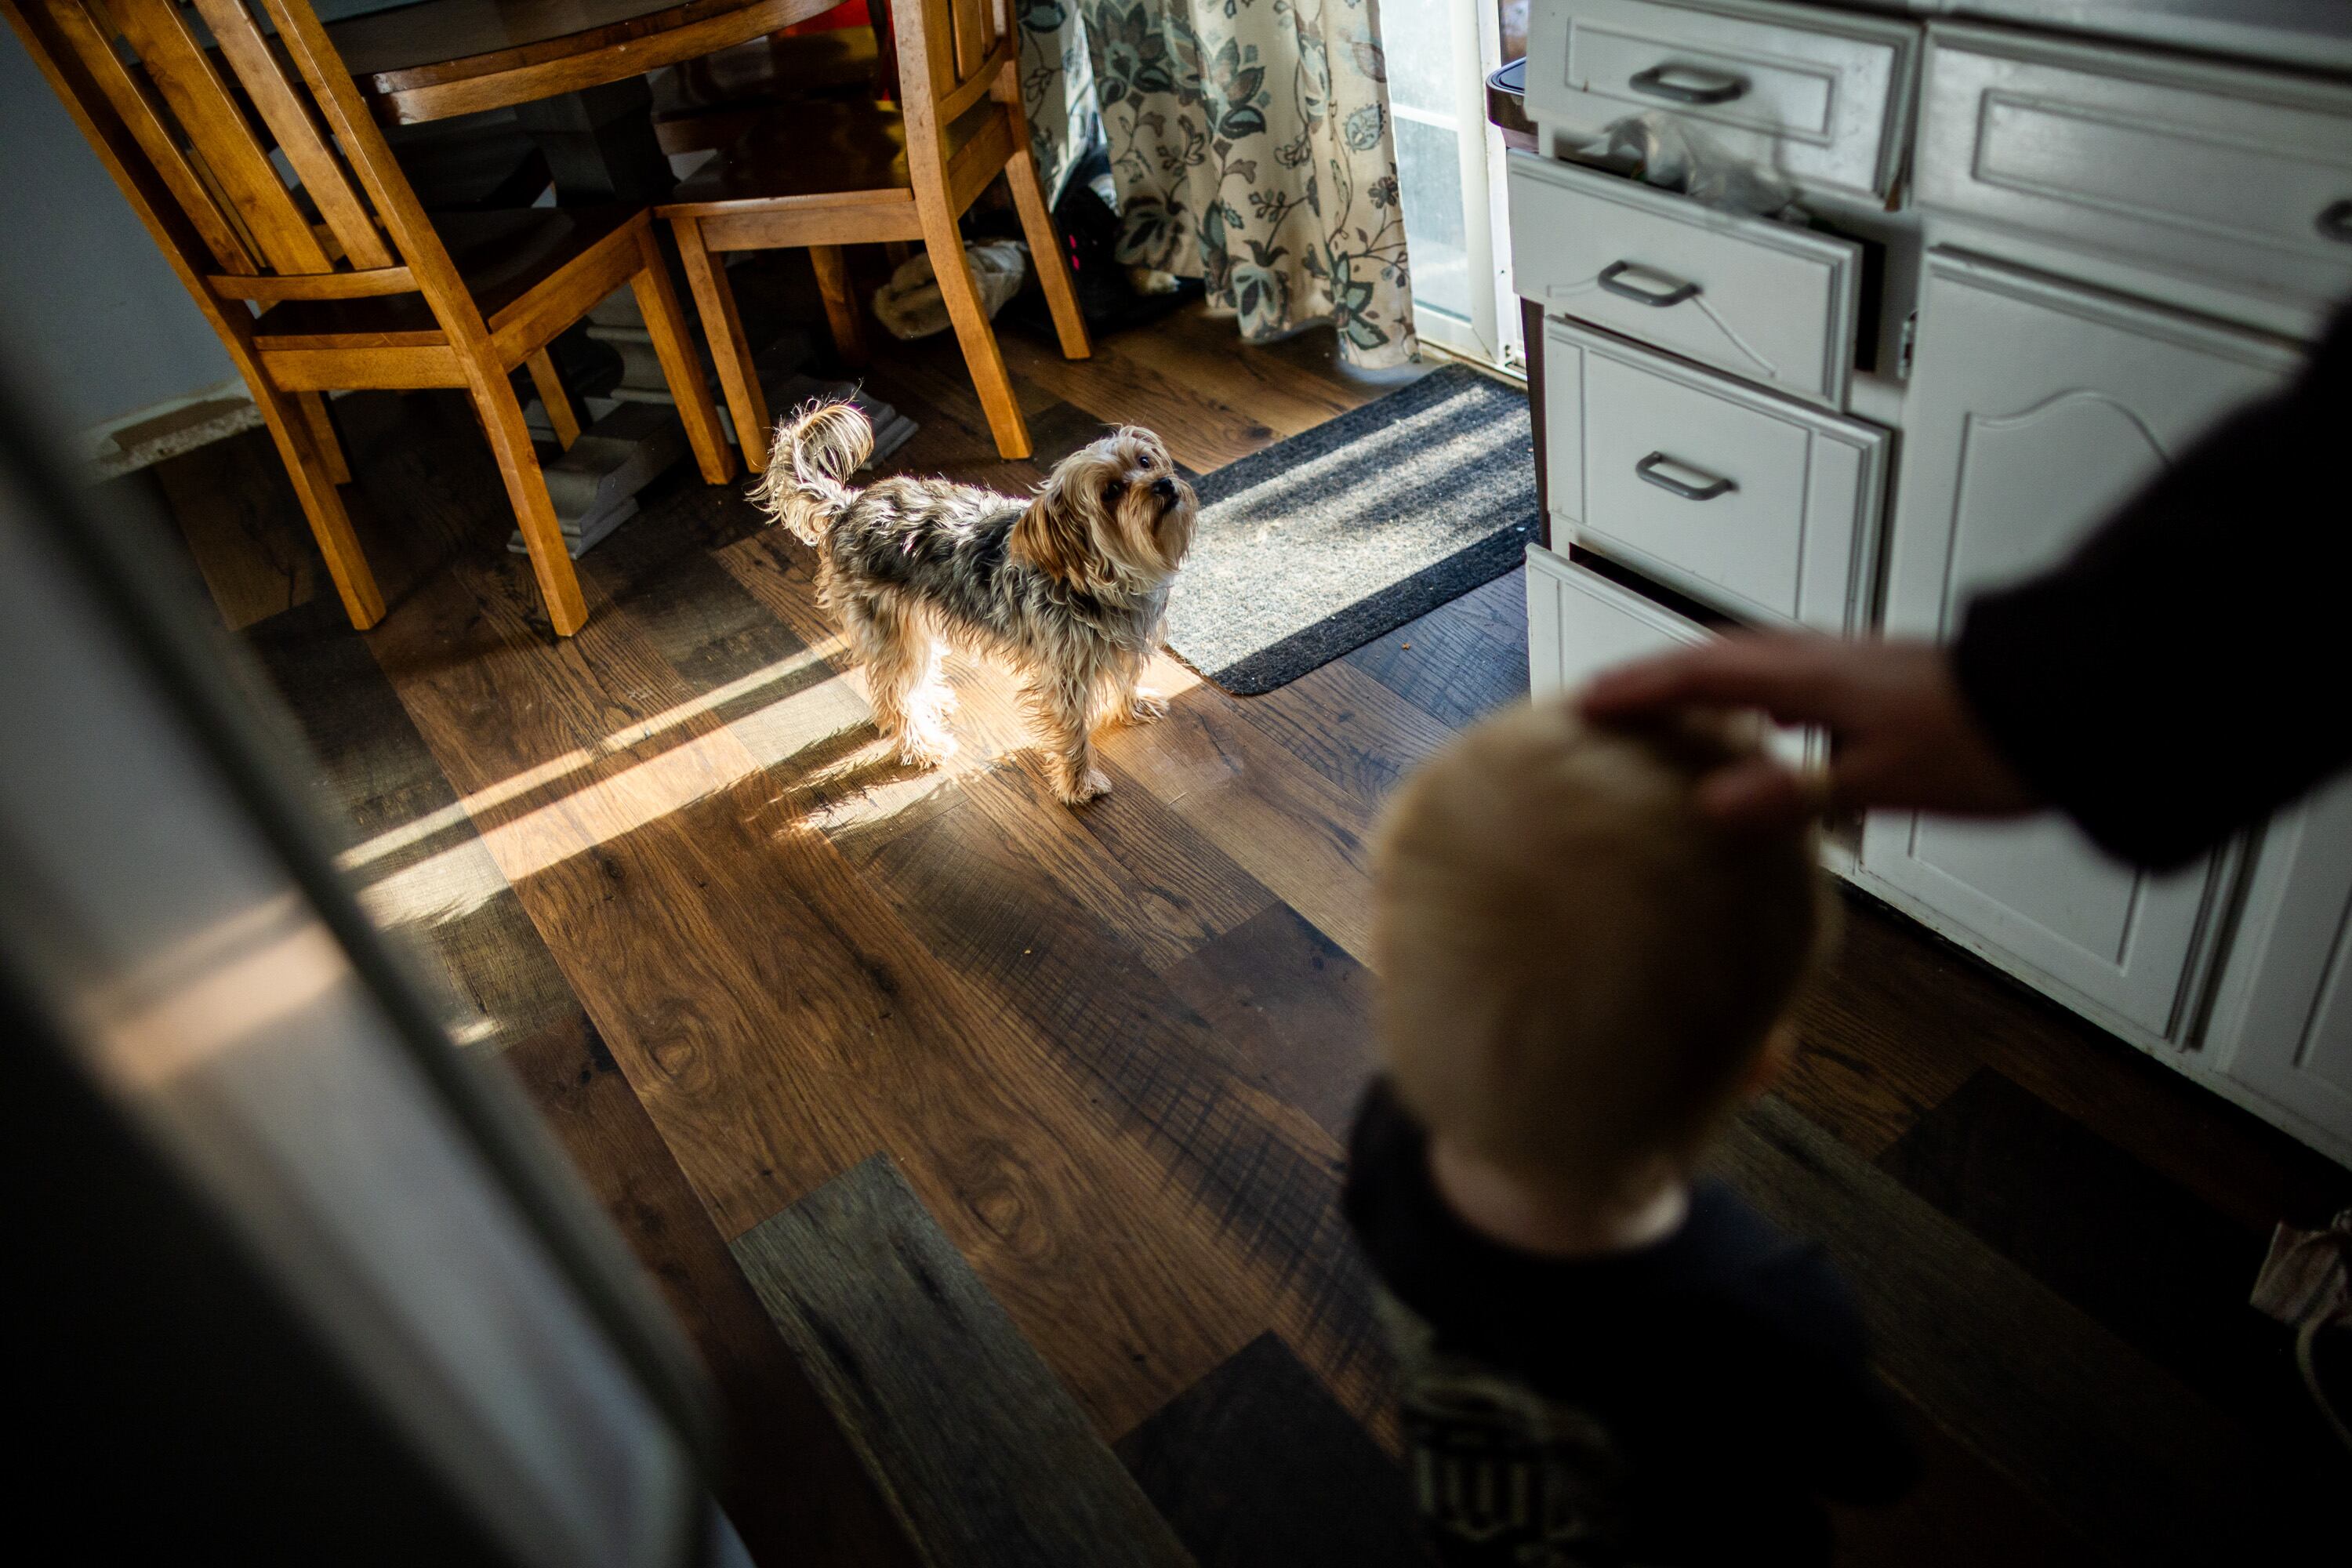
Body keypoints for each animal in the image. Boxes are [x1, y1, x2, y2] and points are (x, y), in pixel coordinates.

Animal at [762, 404, 1195, 804]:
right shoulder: (1063, 672)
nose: (1164, 483)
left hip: (911, 618)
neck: (1098, 576)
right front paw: (1080, 784)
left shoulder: (1122, 640)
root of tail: (848, 508)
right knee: (893, 694)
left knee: (914, 671)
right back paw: (923, 745)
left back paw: (932, 700)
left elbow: (1126, 675)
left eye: (1144, 460)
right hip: (886, 625)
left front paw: (1134, 706)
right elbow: (1072, 730)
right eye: (1111, 492)